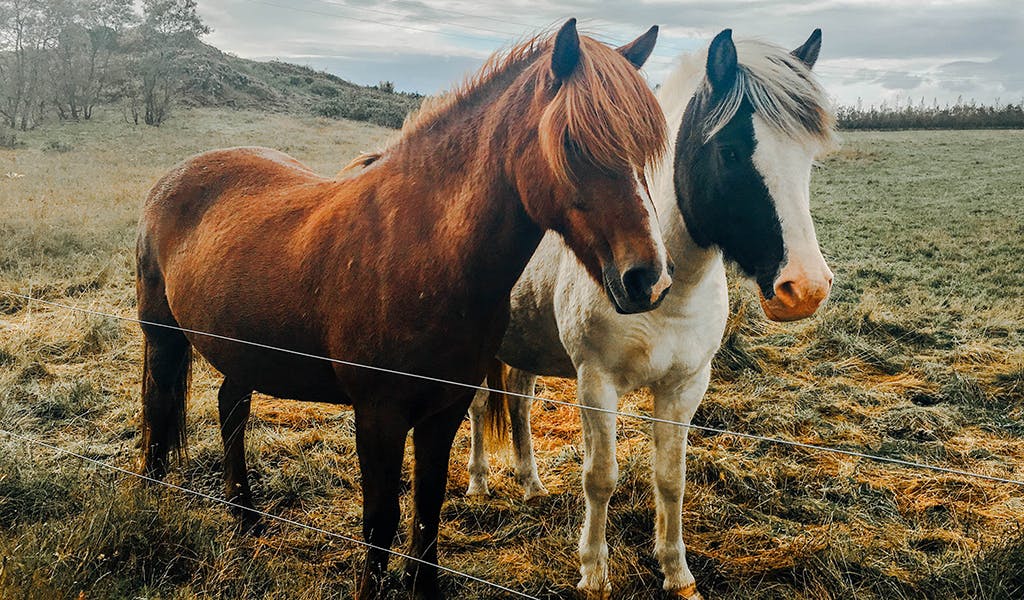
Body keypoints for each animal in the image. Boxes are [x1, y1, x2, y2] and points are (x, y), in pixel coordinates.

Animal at [134, 18, 663, 597]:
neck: (421, 250)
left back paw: (246, 516)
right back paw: (153, 506)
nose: (646, 278)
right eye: (570, 141)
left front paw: (422, 583)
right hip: (161, 337)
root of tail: (174, 177)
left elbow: (428, 507)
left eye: (645, 149)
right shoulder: (378, 414)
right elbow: (381, 518)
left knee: (231, 408)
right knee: (159, 412)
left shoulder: (445, 408)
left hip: (245, 353)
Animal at [468, 30, 835, 593]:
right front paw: (594, 573)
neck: (670, 292)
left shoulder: (684, 387)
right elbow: (601, 478)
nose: (806, 288)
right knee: (480, 405)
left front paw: (677, 571)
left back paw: (530, 484)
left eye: (808, 159)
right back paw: (478, 483)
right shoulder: (596, 384)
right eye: (730, 152)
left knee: (518, 404)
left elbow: (670, 479)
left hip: (526, 346)